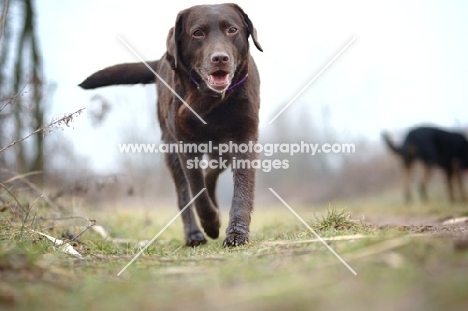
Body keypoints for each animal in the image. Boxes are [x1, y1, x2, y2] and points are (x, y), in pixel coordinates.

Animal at [80, 2, 264, 246]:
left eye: (232, 30)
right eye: (198, 33)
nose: (220, 58)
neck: (211, 100)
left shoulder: (245, 136)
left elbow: (242, 189)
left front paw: (236, 234)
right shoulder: (184, 143)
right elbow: (196, 189)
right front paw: (211, 224)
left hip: (221, 148)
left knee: (212, 172)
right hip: (170, 148)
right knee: (185, 194)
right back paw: (194, 234)